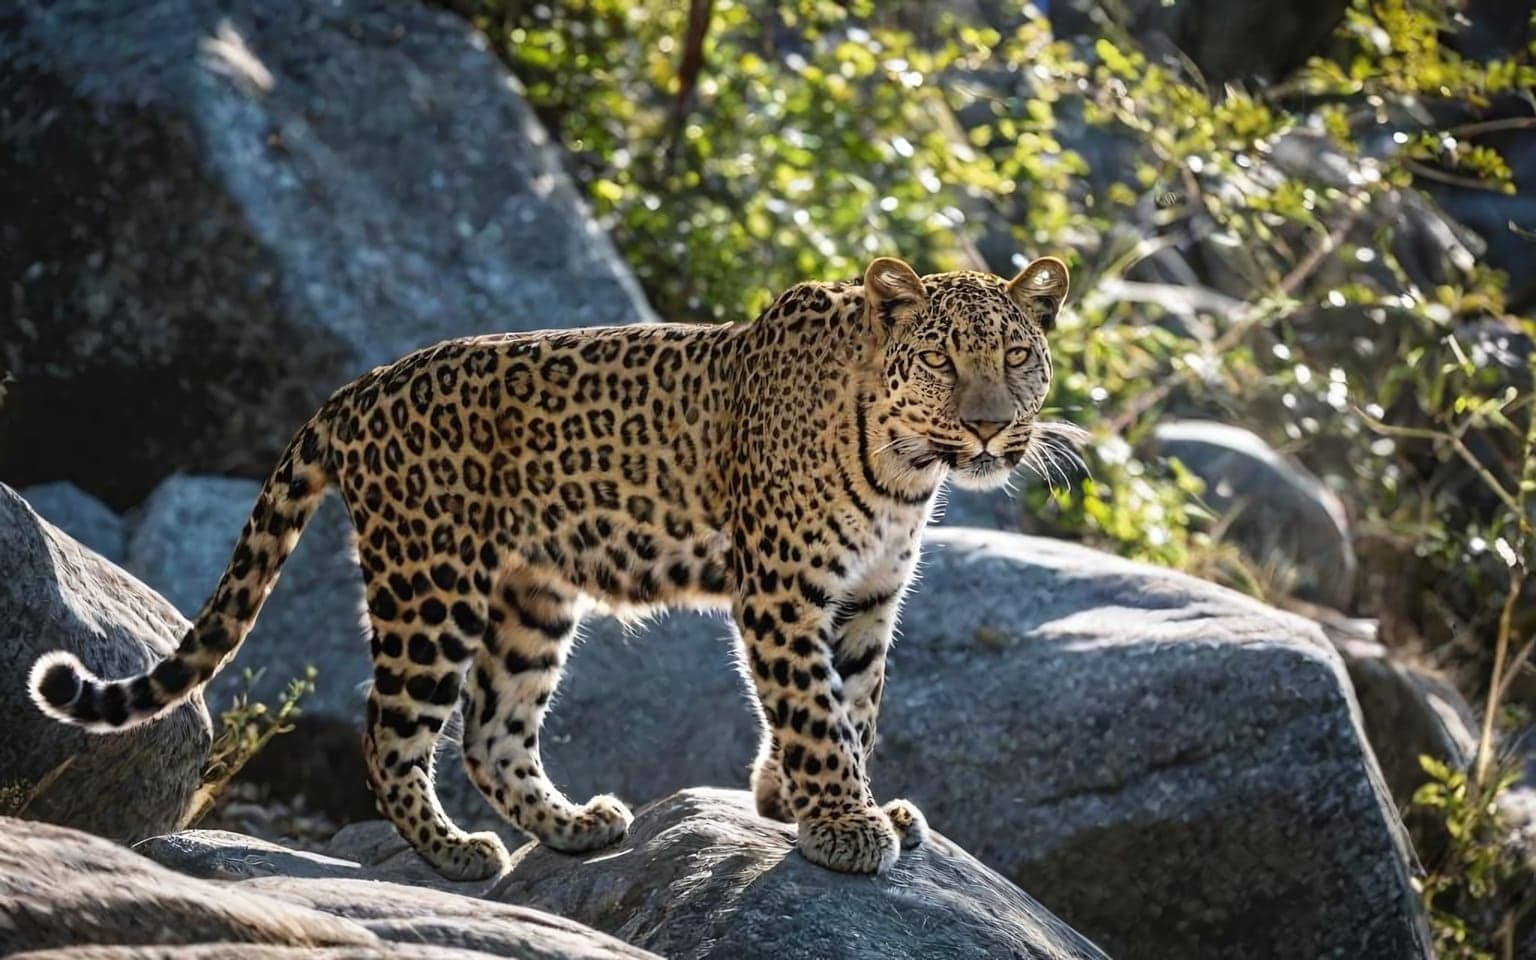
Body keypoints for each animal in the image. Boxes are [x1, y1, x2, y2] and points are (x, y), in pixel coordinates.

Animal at [28, 253, 1070, 881]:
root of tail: (359, 387)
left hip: (531, 594)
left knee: (491, 731)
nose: (988, 426)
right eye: (940, 361)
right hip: (431, 584)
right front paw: (844, 824)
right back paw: (455, 853)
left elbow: (854, 706)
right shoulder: (783, 591)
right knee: (390, 731)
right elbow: (816, 714)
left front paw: (804, 801)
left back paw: (574, 826)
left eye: (1018, 355)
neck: (907, 470)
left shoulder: (867, 599)